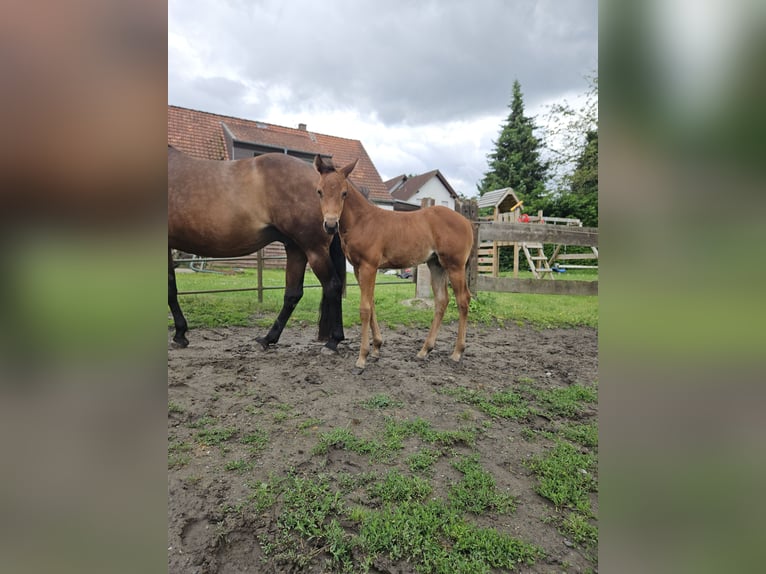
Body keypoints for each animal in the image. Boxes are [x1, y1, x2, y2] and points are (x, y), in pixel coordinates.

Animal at [168, 146, 346, 352]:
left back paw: (333, 341)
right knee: (293, 294)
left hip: (314, 249)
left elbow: (170, 288)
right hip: (296, 249)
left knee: (332, 286)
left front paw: (180, 334)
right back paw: (268, 338)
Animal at [313, 155, 474, 373]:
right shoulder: (357, 268)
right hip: (436, 265)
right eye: (319, 191)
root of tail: (466, 222)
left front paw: (362, 357)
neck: (362, 221)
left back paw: (457, 352)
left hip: (455, 266)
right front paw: (376, 347)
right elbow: (371, 303)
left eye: (344, 193)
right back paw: (425, 350)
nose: (330, 225)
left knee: (463, 300)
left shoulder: (369, 266)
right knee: (442, 301)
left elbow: (365, 308)